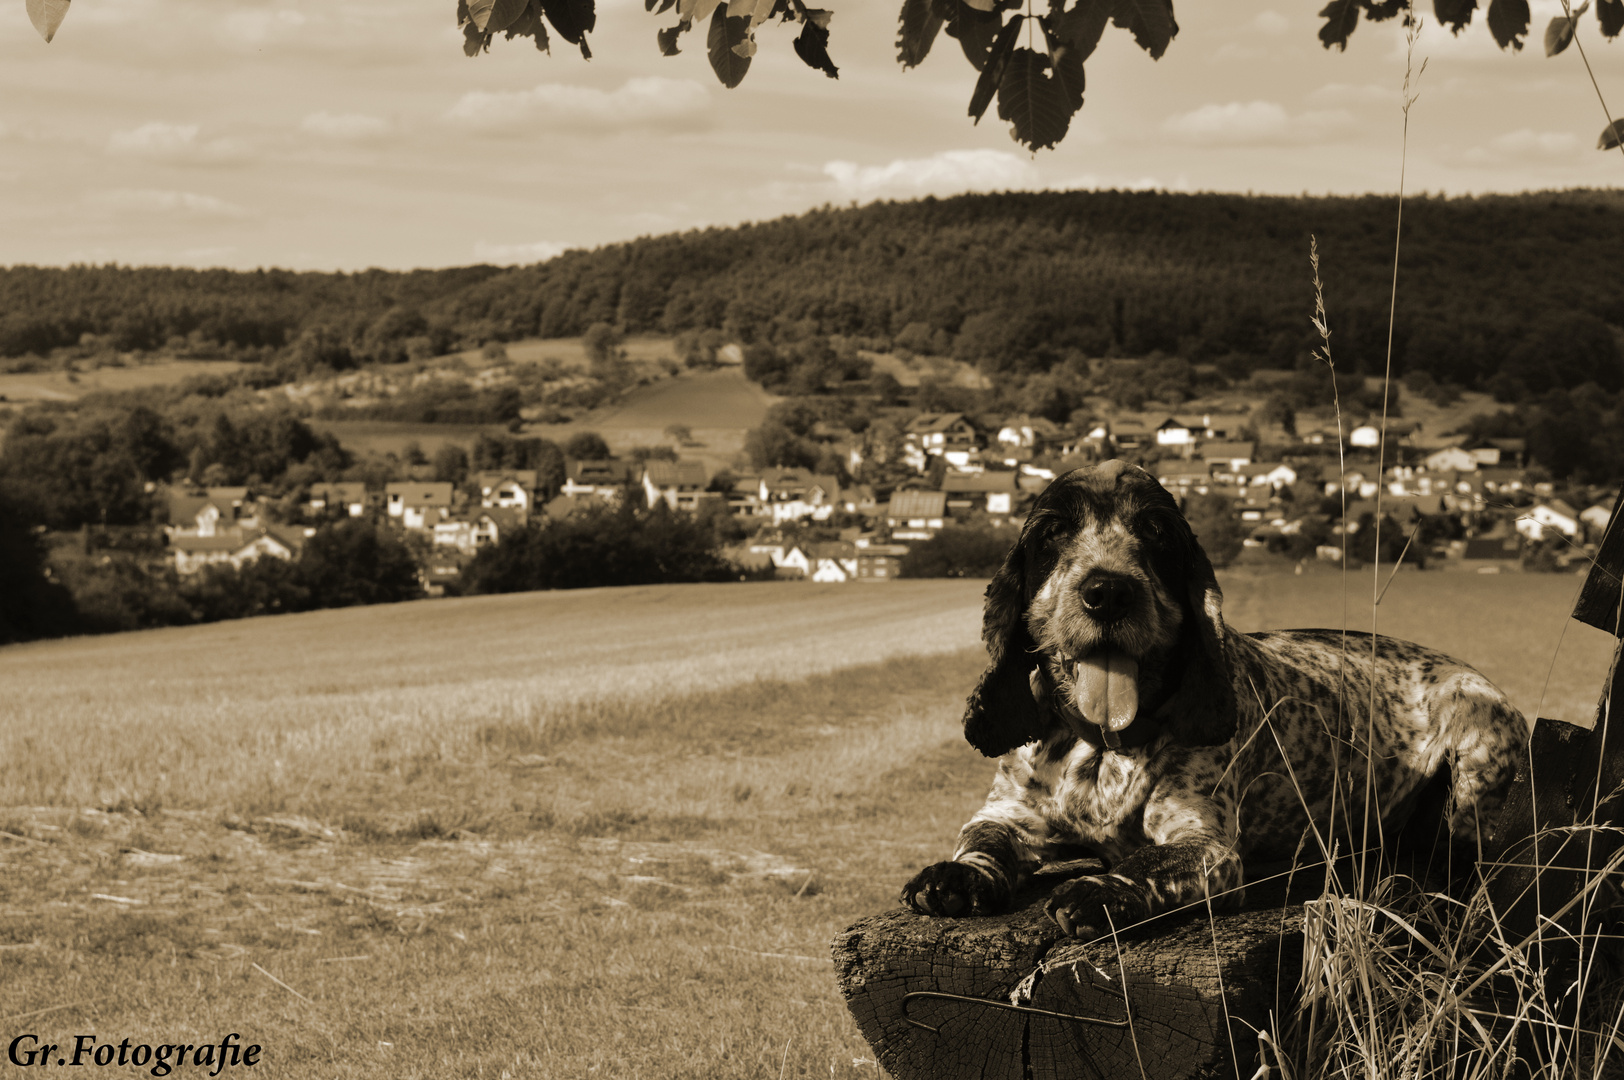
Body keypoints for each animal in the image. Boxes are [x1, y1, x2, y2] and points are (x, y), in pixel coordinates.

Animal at [909, 457, 1526, 941]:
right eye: (1053, 531)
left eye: (1156, 530)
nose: (1107, 591)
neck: (1103, 748)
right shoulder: (1008, 813)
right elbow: (982, 840)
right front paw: (954, 875)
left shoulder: (1205, 844)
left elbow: (1148, 858)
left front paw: (1099, 889)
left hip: (1475, 739)